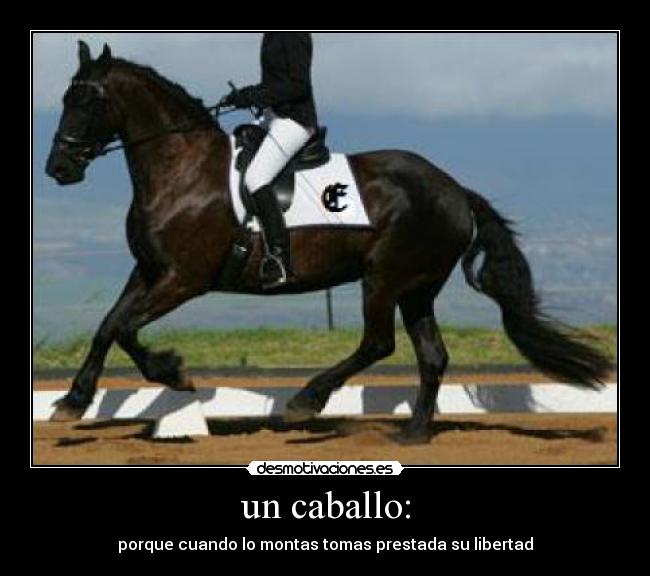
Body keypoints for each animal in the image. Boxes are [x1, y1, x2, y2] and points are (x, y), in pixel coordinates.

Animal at [44, 41, 612, 443]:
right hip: (417, 287)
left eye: (85, 99)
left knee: (378, 343)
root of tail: (454, 189)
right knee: (431, 355)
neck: (180, 169)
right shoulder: (148, 270)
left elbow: (124, 328)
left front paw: (175, 373)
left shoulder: (184, 278)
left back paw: (307, 400)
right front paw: (72, 402)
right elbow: (108, 326)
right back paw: (413, 434)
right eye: (66, 98)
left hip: (385, 276)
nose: (58, 169)